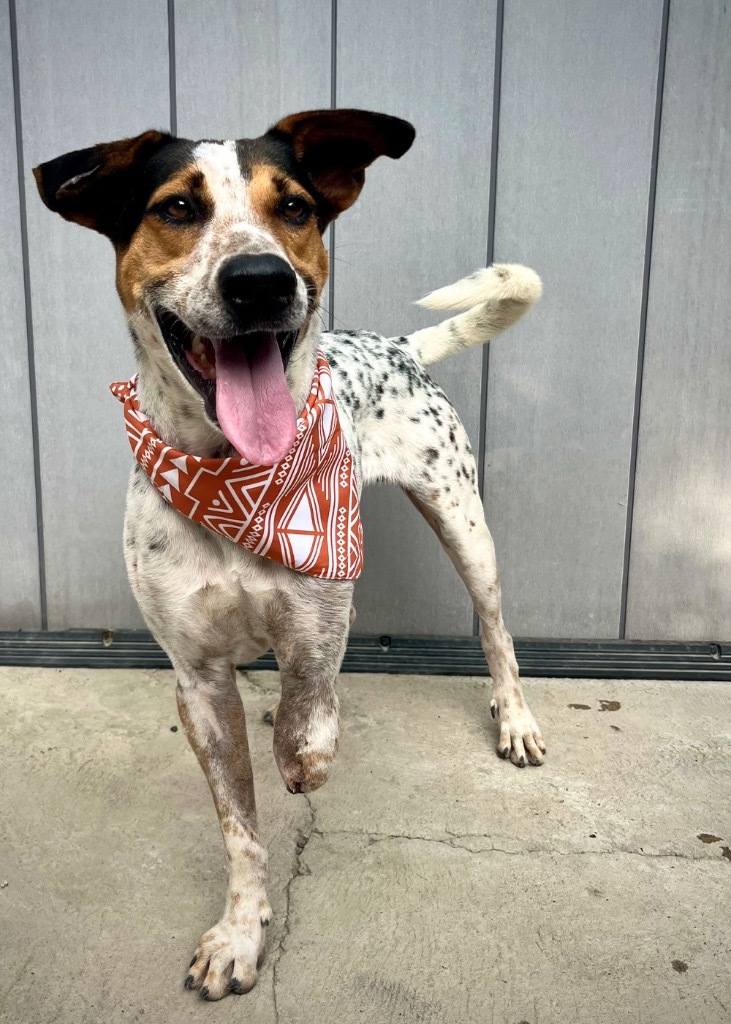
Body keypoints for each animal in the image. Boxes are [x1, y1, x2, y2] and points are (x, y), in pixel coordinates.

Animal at [35, 110, 548, 999]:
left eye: (296, 208)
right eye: (177, 208)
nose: (260, 281)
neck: (232, 474)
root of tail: (398, 346)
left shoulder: (319, 609)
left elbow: (311, 714)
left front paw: (305, 754)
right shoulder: (197, 679)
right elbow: (238, 823)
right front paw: (240, 932)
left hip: (463, 524)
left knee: (495, 633)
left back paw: (512, 718)